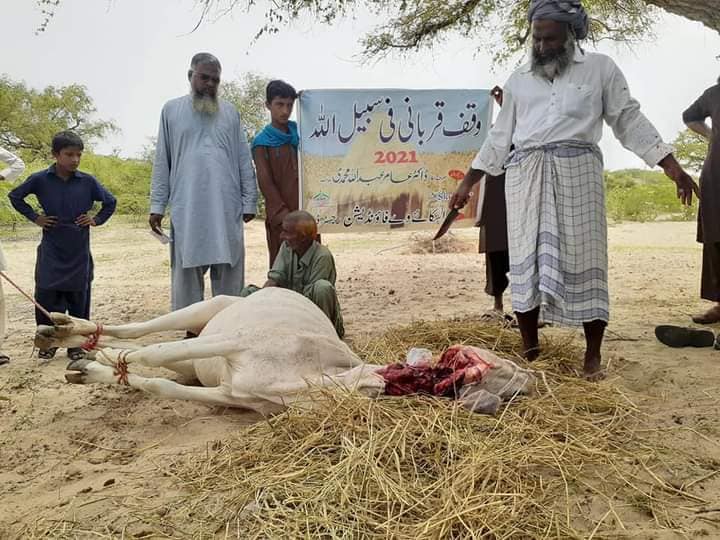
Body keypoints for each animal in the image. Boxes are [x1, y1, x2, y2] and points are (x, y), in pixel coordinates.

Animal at [38, 288, 388, 416]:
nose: (382, 385)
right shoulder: (236, 341)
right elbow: (156, 355)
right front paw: (103, 362)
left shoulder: (229, 394)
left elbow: (160, 384)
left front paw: (93, 370)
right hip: (205, 310)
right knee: (140, 334)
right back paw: (64, 329)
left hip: (194, 363)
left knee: (143, 346)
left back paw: (73, 342)